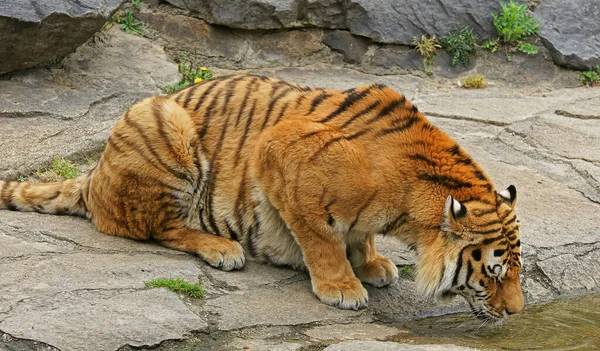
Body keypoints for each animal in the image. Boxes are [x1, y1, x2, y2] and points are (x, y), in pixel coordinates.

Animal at [0, 74, 524, 322]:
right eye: (494, 274)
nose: (517, 312)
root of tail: (94, 173)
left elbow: (358, 236)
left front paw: (372, 263)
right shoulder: (278, 152)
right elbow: (321, 239)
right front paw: (342, 287)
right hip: (165, 125)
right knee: (156, 228)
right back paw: (223, 249)